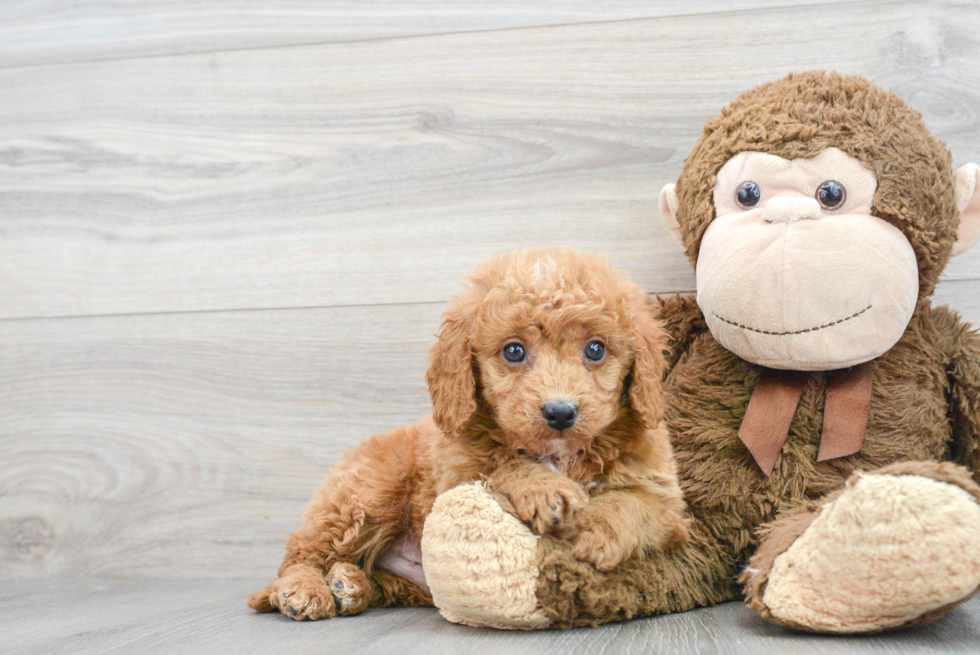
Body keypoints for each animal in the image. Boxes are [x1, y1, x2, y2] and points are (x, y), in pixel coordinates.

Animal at [249, 250, 684, 620]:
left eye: (596, 349)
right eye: (513, 352)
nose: (560, 412)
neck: (558, 453)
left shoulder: (668, 503)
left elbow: (633, 503)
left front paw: (595, 531)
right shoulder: (455, 477)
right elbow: (504, 465)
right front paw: (546, 490)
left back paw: (350, 585)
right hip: (366, 495)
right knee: (302, 553)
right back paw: (308, 590)